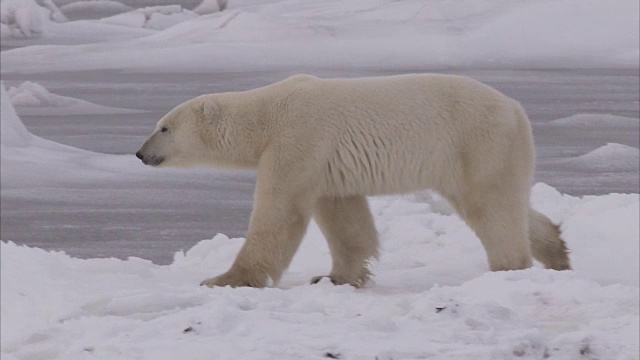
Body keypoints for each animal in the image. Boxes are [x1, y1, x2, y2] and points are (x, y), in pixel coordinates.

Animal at [135, 74, 568, 288]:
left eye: (164, 127)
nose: (140, 153)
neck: (268, 111)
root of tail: (516, 108)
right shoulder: (327, 161)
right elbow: (344, 217)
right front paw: (335, 277)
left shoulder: (298, 138)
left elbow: (281, 211)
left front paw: (224, 279)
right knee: (511, 204)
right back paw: (557, 252)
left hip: (475, 141)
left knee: (491, 206)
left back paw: (508, 268)